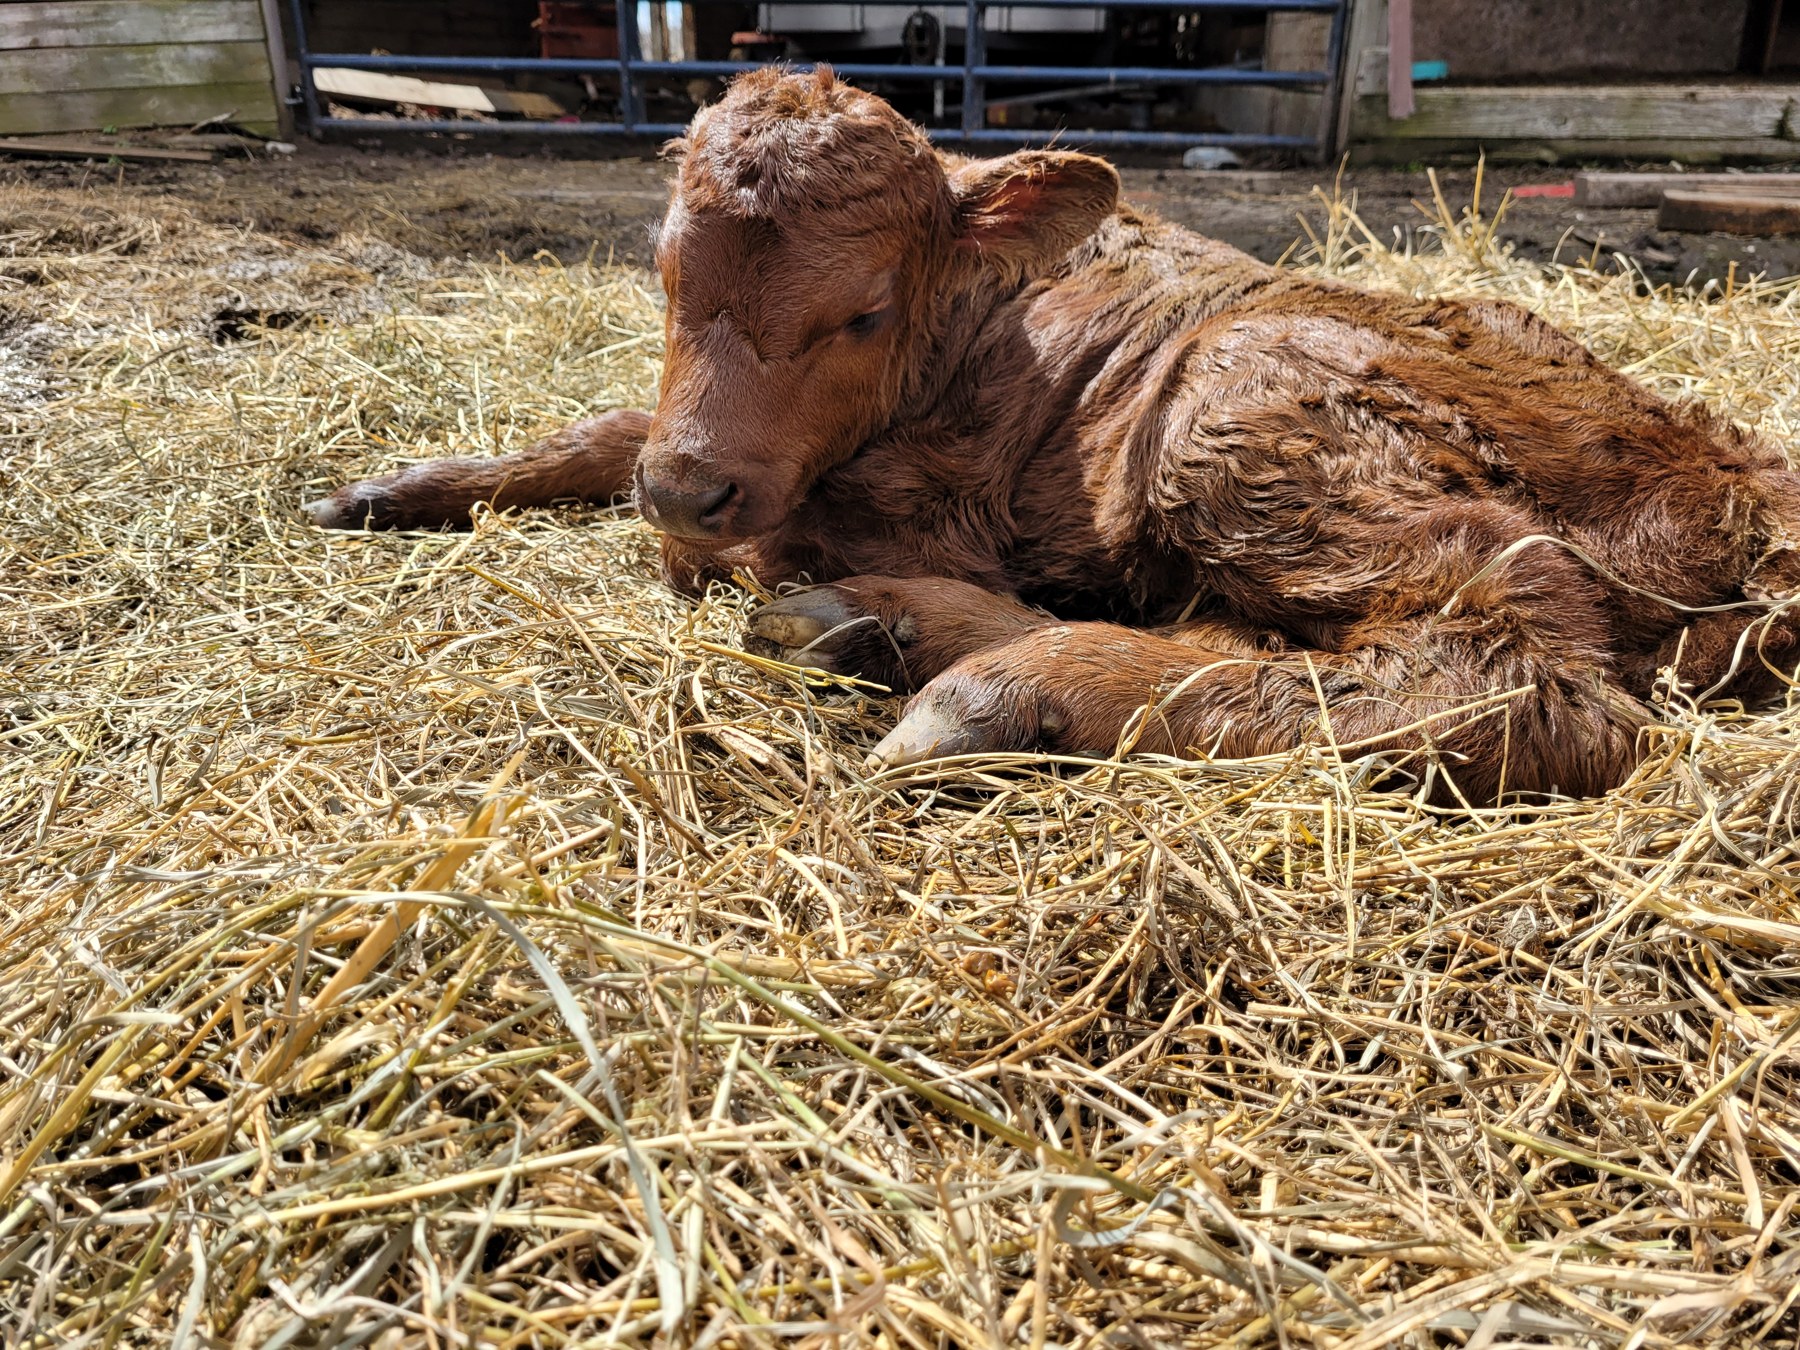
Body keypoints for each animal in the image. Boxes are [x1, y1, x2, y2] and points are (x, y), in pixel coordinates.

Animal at [305, 67, 1800, 802]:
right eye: (665, 271)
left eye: (861, 310)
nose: (693, 488)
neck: (983, 325)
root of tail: (1746, 488)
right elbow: (618, 426)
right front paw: (398, 484)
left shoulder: (911, 500)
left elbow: (750, 527)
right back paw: (888, 631)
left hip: (1250, 405)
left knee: (1525, 672)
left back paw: (986, 686)